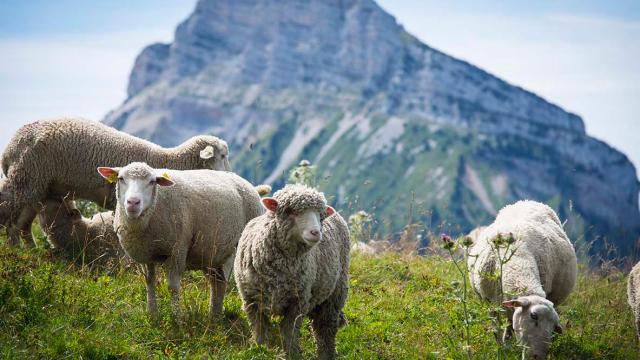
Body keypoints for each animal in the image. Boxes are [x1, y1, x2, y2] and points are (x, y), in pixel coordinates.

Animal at [0, 116, 230, 246]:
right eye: (223, 155)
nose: (231, 175)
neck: (168, 160)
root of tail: (9, 148)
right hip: (26, 180)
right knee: (11, 222)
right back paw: (17, 253)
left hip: (38, 188)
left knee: (23, 225)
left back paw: (32, 254)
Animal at [97, 162, 262, 320]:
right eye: (120, 178)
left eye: (152, 181)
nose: (133, 202)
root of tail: (245, 182)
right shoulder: (145, 253)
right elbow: (149, 282)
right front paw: (152, 314)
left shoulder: (178, 249)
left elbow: (172, 287)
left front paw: (176, 317)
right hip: (210, 253)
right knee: (217, 283)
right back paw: (214, 314)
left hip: (234, 250)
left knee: (223, 282)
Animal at [235, 184, 350, 358]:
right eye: (291, 211)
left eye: (321, 216)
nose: (316, 233)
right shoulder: (251, 301)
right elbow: (259, 329)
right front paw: (259, 349)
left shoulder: (297, 303)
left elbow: (289, 333)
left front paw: (291, 354)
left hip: (334, 294)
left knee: (325, 329)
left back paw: (326, 354)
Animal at [468, 201, 576, 358]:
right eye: (533, 316)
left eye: (554, 327)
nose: (538, 357)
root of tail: (529, 201)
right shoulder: (490, 303)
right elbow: (496, 330)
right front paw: (501, 349)